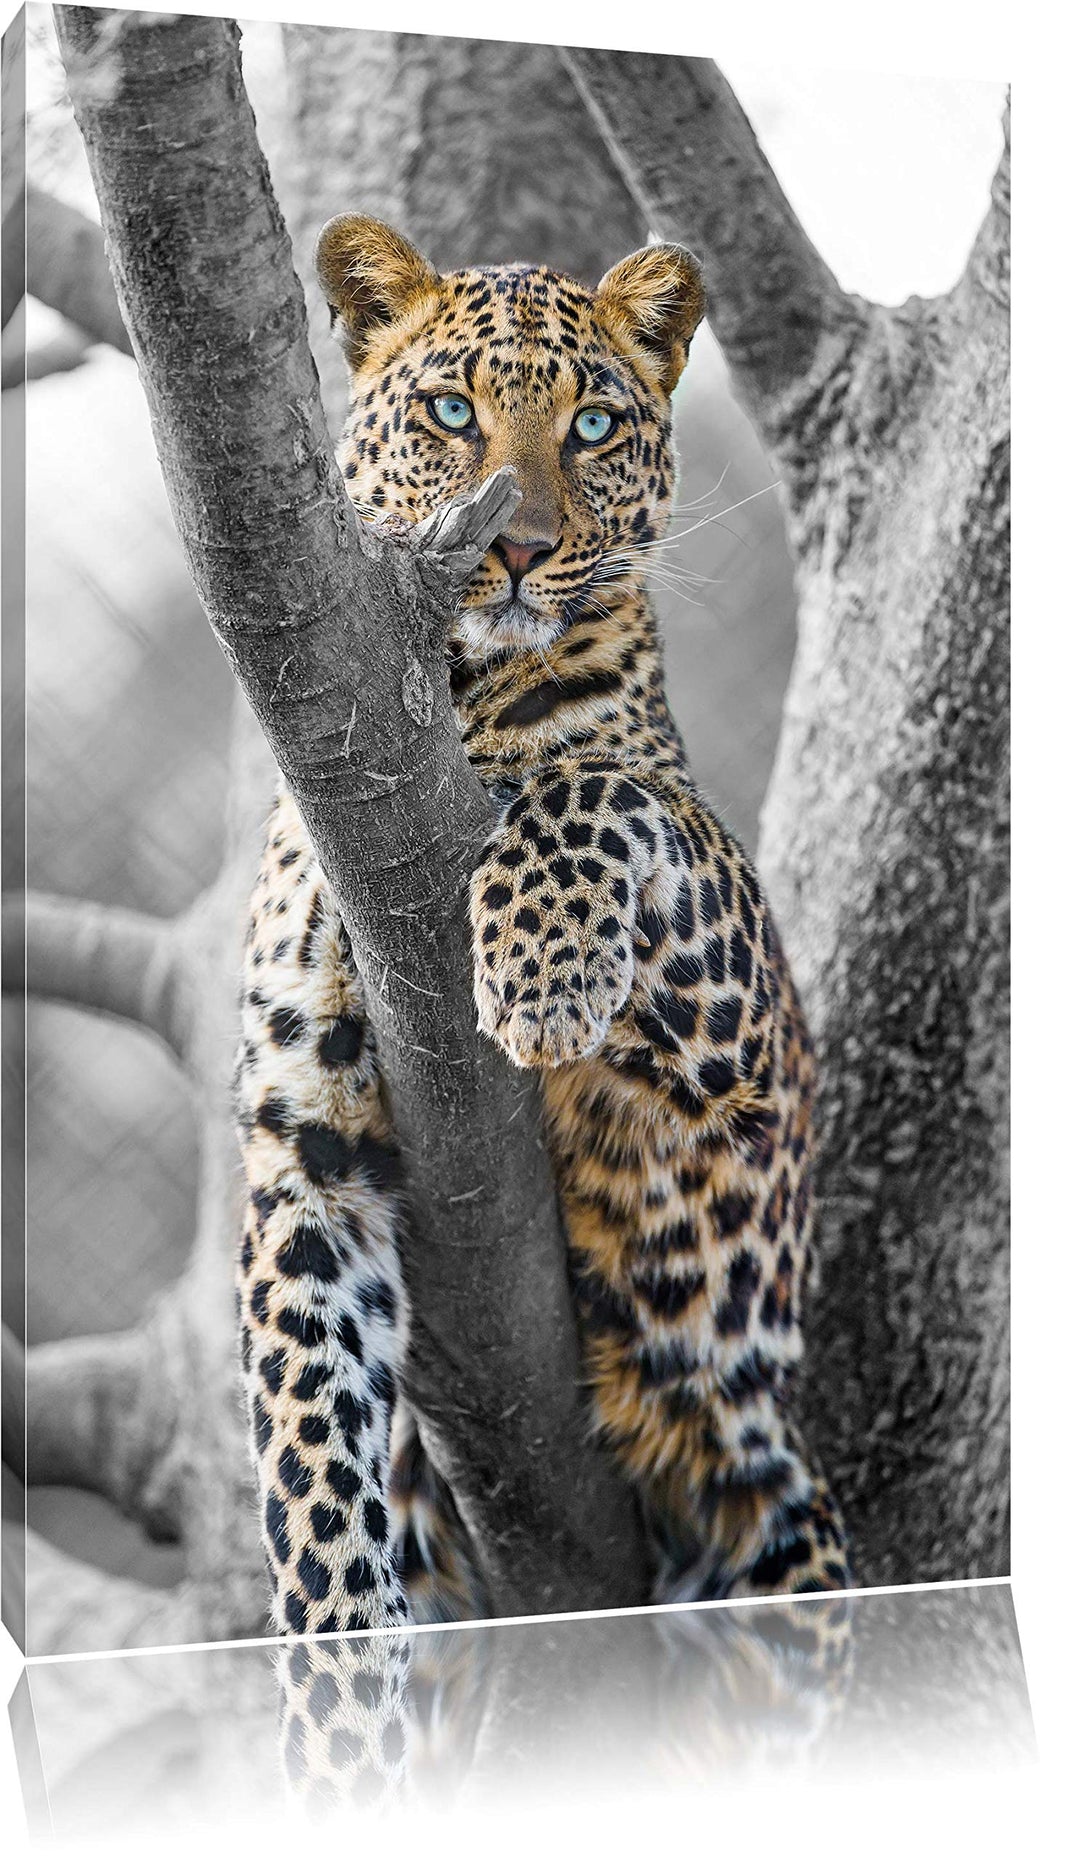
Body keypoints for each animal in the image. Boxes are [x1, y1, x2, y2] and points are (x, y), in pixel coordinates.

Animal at [234, 215, 851, 1655]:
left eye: (595, 425)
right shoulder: (304, 1147)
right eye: (453, 413)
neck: (449, 706)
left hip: (783, 1517)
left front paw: (542, 974)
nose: (512, 547)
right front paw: (337, 1679)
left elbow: (600, 786)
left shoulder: (742, 1055)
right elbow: (308, 1449)